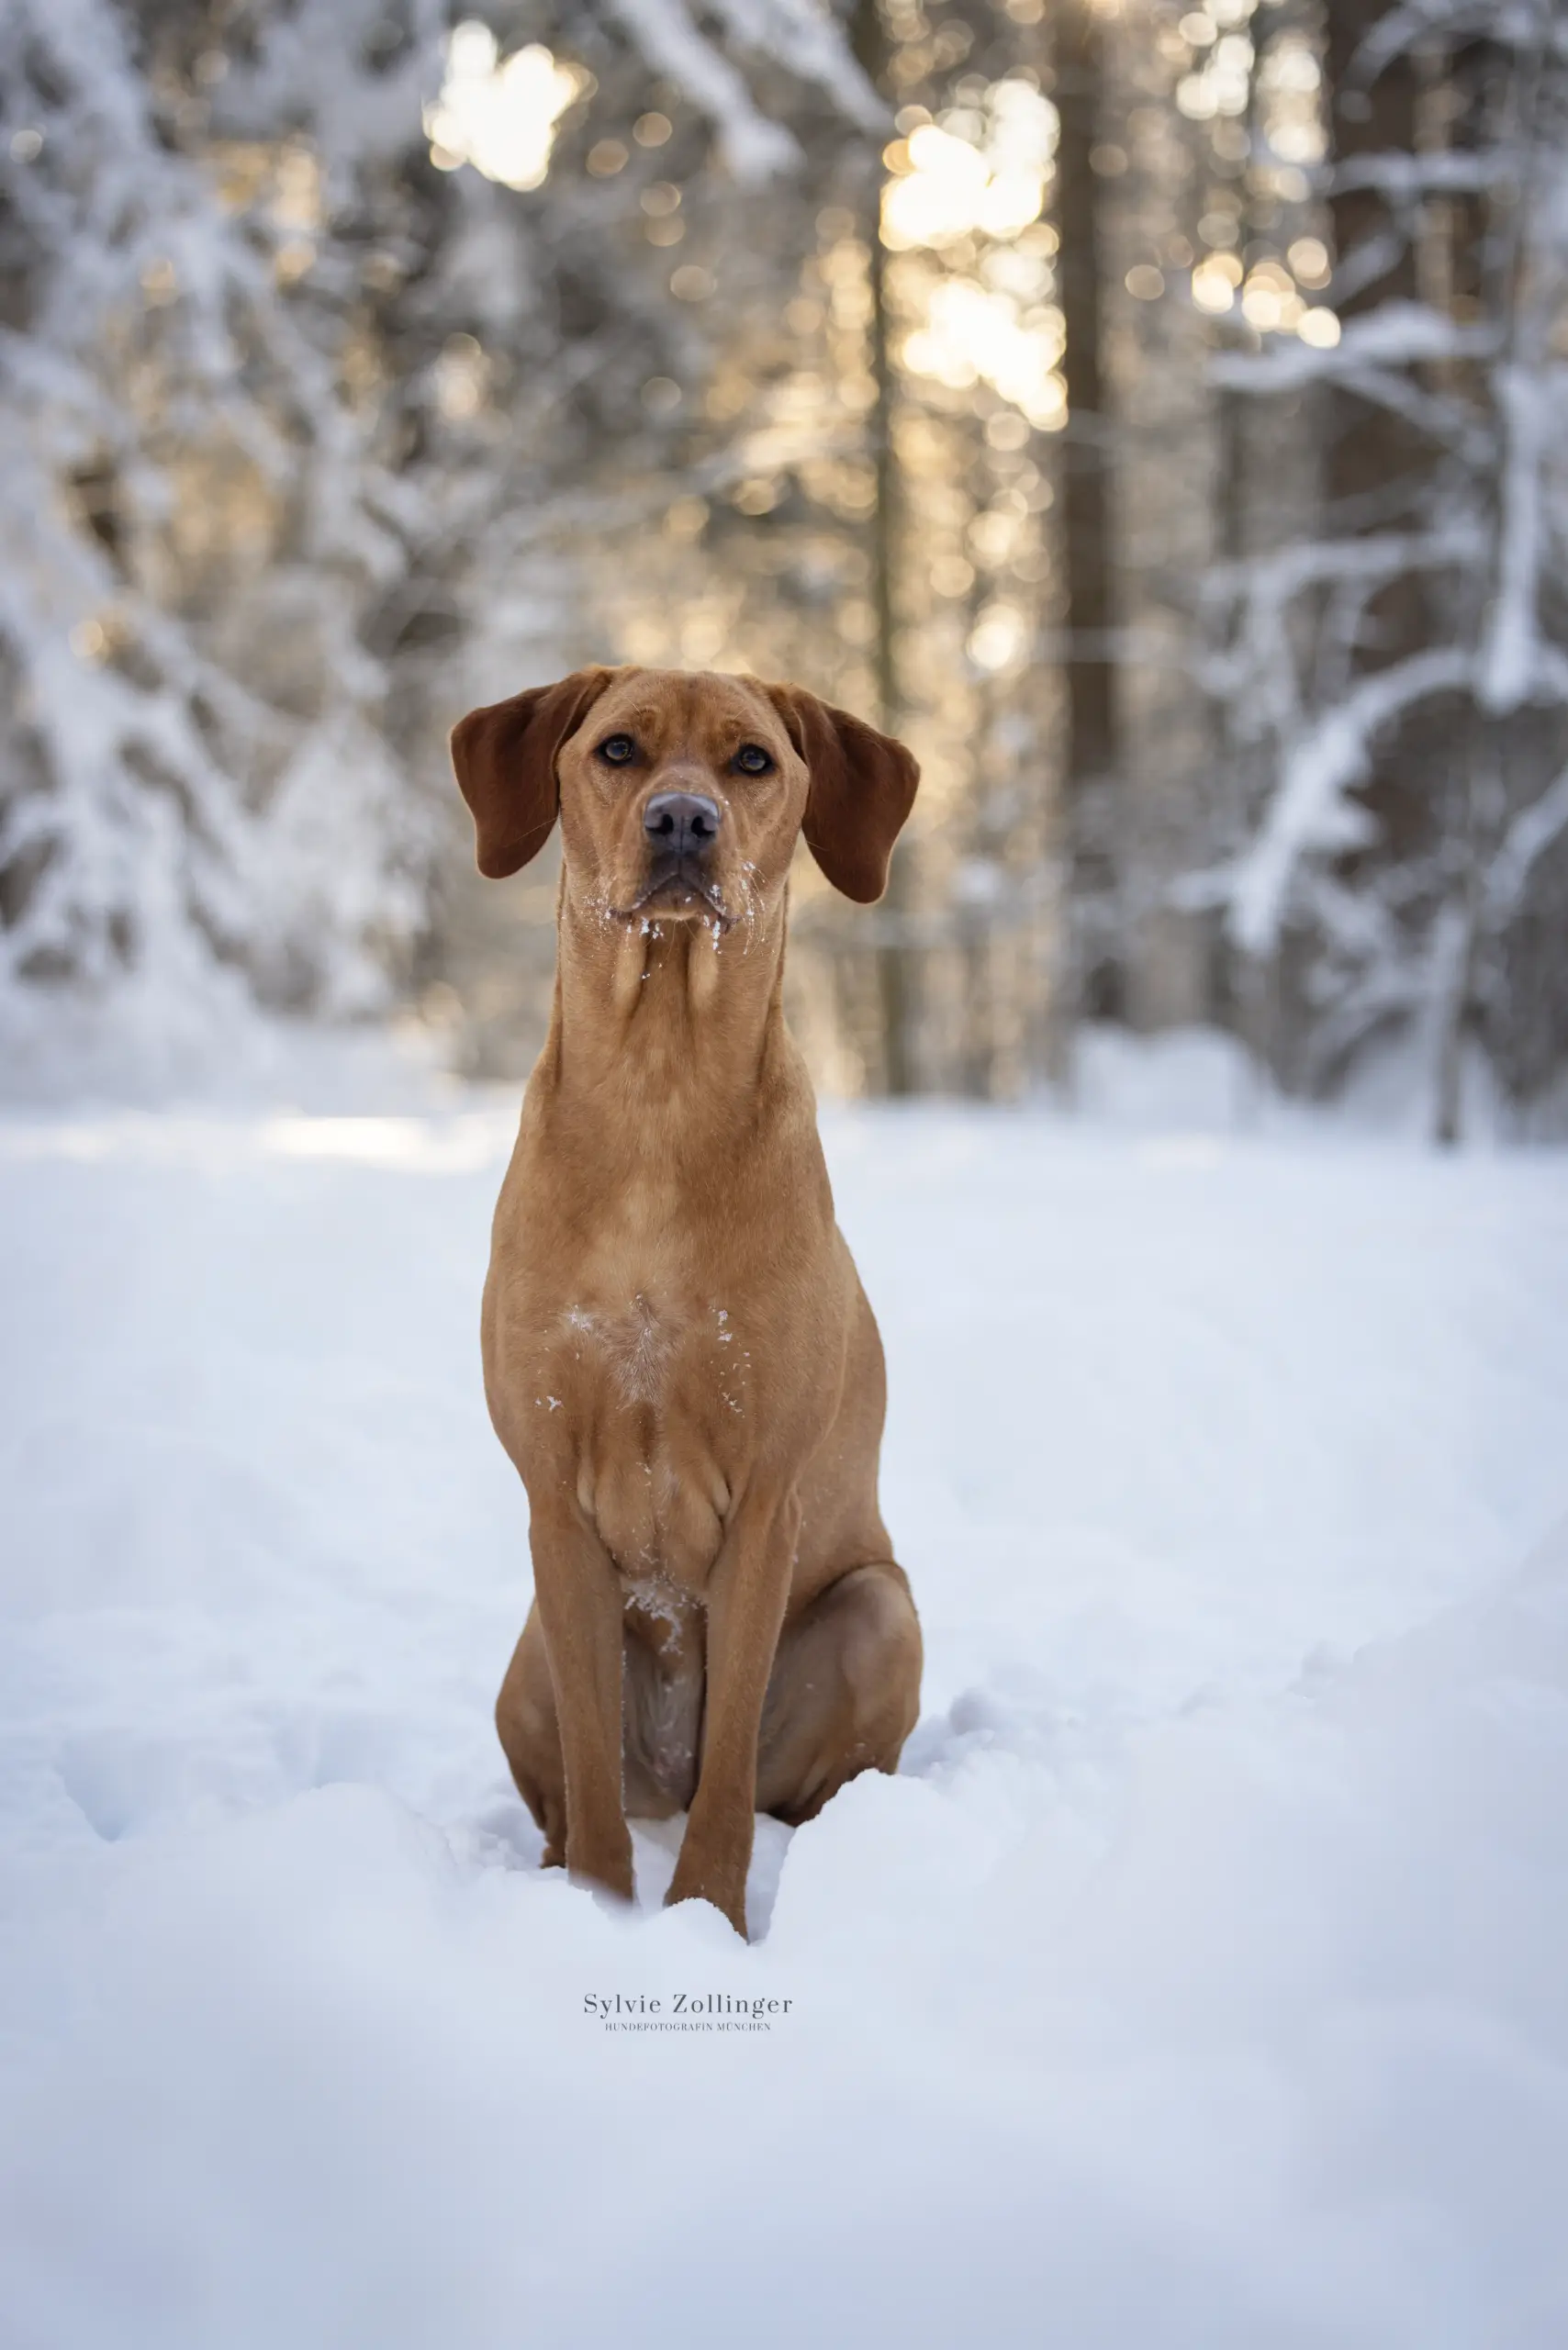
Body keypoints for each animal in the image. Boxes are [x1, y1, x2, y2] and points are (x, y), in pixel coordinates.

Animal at [446, 672, 925, 1936]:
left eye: (751, 760)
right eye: (618, 750)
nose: (681, 822)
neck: (658, 1095)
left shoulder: (765, 1500)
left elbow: (728, 1768)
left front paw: (703, 1918)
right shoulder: (554, 1506)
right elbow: (587, 1769)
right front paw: (602, 1916)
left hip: (881, 1610)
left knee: (772, 1785)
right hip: (521, 1666)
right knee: (576, 1788)